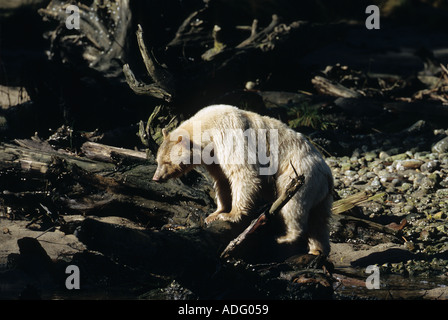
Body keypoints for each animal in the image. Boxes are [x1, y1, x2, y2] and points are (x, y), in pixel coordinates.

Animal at [153, 105, 332, 255]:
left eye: (166, 162)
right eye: (158, 160)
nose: (156, 178)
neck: (208, 126)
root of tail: (327, 174)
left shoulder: (228, 135)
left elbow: (243, 172)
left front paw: (230, 215)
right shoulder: (214, 156)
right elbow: (222, 180)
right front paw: (215, 214)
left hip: (299, 174)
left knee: (292, 205)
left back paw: (284, 237)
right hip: (320, 193)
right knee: (319, 221)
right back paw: (317, 249)